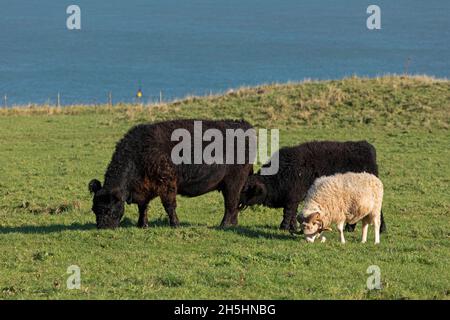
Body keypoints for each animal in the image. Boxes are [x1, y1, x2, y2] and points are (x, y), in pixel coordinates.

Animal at [89, 119, 255, 229]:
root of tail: (243, 124)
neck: (139, 153)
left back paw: (224, 225)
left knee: (230, 203)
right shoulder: (145, 188)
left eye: (108, 209)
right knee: (234, 204)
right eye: (94, 209)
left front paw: (175, 224)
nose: (102, 228)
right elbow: (143, 207)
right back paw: (233, 224)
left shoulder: (167, 184)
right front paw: (142, 224)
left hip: (234, 182)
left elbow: (169, 206)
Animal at [239, 140, 386, 232]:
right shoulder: (294, 198)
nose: (237, 201)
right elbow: (292, 214)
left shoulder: (292, 198)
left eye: (245, 188)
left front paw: (284, 227)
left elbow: (288, 213)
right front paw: (293, 227)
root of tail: (366, 146)